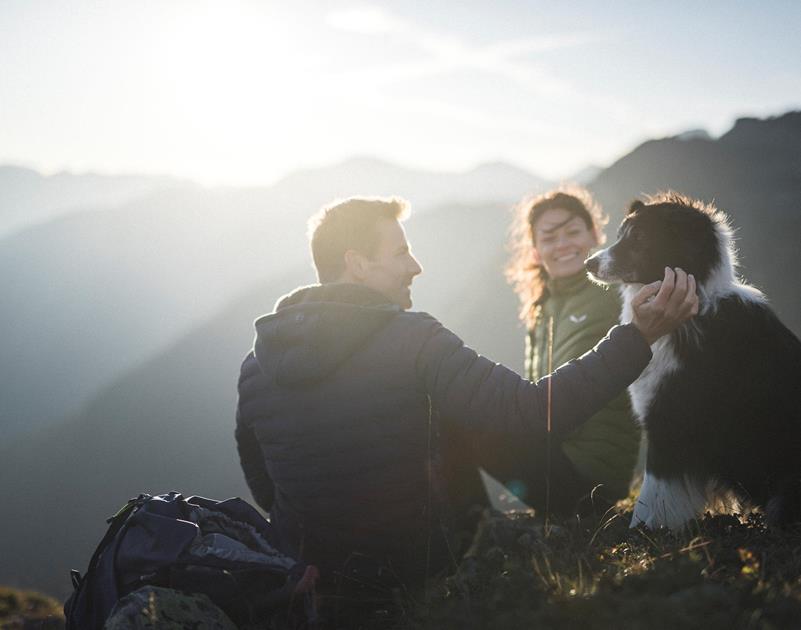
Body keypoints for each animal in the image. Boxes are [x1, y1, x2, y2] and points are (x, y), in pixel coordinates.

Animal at [580, 194, 800, 532]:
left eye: (640, 238)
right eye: (620, 234)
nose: (588, 264)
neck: (696, 303)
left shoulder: (669, 417)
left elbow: (655, 490)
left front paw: (645, 530)